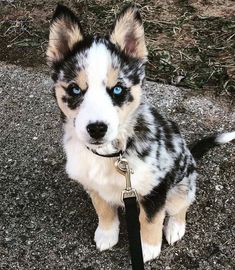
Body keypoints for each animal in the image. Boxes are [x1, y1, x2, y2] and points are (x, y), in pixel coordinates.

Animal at [46, 3, 235, 262]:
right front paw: (107, 234)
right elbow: (103, 209)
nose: (97, 129)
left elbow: (150, 219)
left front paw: (148, 248)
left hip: (182, 185)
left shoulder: (156, 188)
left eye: (117, 89)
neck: (112, 154)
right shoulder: (93, 185)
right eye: (75, 89)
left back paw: (175, 227)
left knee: (181, 205)